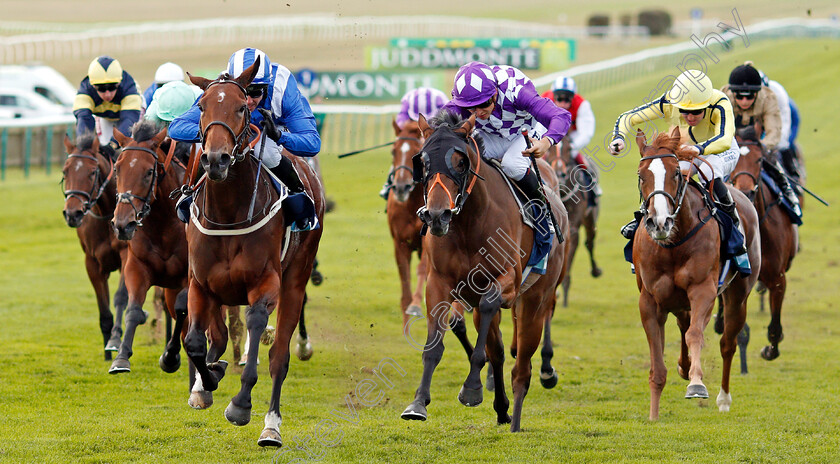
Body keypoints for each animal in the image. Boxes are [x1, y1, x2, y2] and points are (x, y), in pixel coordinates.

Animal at [184, 58, 324, 446]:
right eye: (201, 107)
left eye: (242, 108)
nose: (216, 159)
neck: (228, 214)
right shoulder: (200, 283)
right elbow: (195, 341)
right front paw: (206, 382)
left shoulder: (266, 284)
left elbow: (258, 328)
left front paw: (240, 405)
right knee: (216, 337)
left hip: (295, 280)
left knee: (279, 358)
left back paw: (271, 426)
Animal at [632, 128, 760, 420]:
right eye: (641, 175)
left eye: (676, 174)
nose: (659, 223)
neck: (672, 246)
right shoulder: (649, 300)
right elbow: (658, 364)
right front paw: (653, 415)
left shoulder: (703, 290)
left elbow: (695, 335)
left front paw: (697, 384)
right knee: (683, 323)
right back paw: (684, 365)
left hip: (738, 295)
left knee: (727, 342)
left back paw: (723, 398)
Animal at [724, 127, 796, 362]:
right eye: (736, 159)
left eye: (759, 159)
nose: (747, 192)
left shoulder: (778, 278)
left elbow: (775, 326)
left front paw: (770, 349)